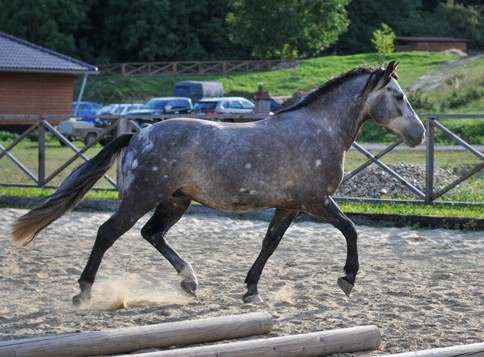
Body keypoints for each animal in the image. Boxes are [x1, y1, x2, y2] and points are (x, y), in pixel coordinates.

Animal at [12, 60, 424, 304]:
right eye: (399, 96)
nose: (419, 134)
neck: (319, 130)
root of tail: (139, 135)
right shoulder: (315, 200)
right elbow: (351, 229)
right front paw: (348, 279)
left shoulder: (289, 206)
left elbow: (270, 243)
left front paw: (251, 290)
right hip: (142, 196)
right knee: (108, 233)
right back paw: (83, 294)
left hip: (176, 200)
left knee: (152, 234)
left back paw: (190, 282)